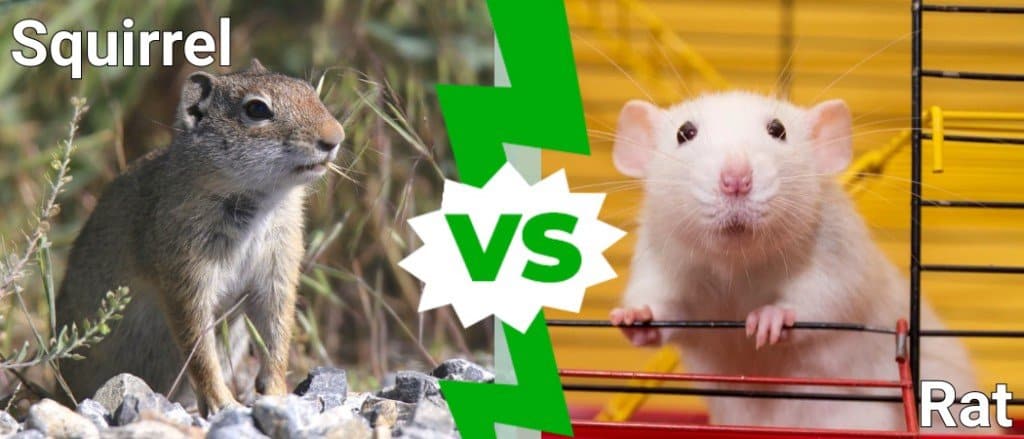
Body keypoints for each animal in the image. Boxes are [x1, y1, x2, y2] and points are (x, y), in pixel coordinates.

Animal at [55, 59, 344, 415]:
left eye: (310, 91)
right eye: (257, 109)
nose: (335, 136)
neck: (260, 203)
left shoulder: (278, 271)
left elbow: (276, 334)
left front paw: (277, 393)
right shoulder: (187, 277)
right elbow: (199, 350)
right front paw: (223, 403)